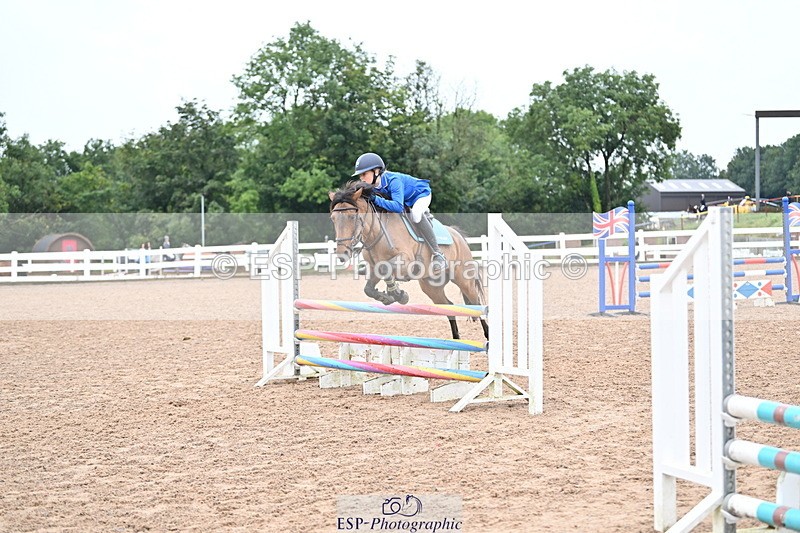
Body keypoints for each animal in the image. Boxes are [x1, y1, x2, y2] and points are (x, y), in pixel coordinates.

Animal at [328, 181, 488, 341]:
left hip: (464, 280)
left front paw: (398, 294)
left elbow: (385, 269)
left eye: (352, 217)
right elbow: (369, 288)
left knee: (477, 304)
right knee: (449, 306)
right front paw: (390, 295)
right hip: (432, 287)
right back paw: (455, 341)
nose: (342, 254)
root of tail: (458, 236)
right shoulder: (374, 269)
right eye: (333, 219)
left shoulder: (406, 261)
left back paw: (487, 336)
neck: (377, 233)